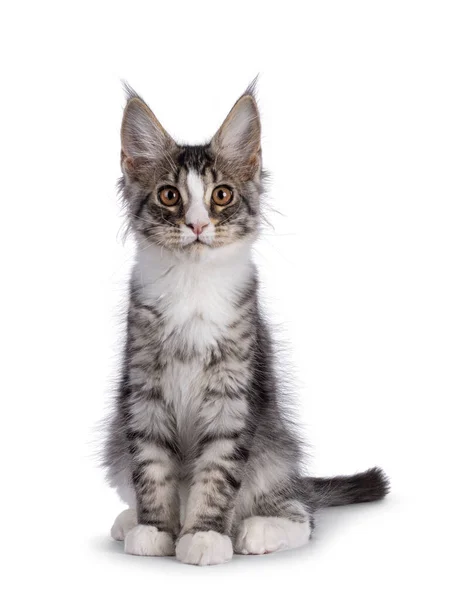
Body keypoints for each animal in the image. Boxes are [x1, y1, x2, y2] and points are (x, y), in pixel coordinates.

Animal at [103, 82, 390, 564]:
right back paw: (129, 522)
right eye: (169, 196)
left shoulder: (233, 393)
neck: (193, 286)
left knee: (302, 513)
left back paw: (256, 531)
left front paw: (204, 535)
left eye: (221, 195)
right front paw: (155, 530)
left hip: (273, 451)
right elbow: (152, 467)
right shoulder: (145, 391)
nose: (198, 225)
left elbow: (217, 473)